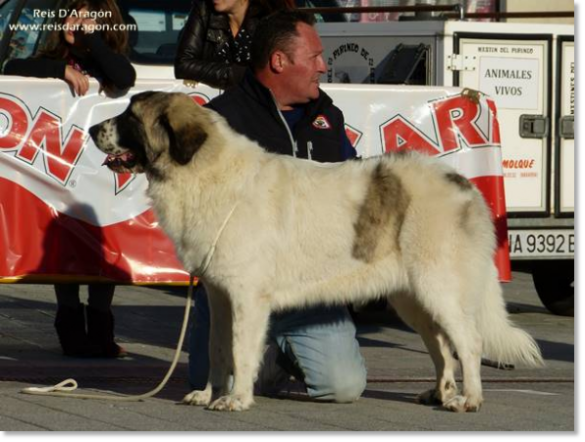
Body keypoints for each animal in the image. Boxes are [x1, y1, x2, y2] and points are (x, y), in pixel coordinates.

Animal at [91, 91, 544, 412]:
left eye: (130, 117)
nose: (94, 128)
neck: (204, 170)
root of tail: (463, 183)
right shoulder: (219, 296)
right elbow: (216, 349)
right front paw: (207, 394)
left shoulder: (246, 298)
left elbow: (240, 351)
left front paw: (236, 399)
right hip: (411, 296)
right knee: (440, 344)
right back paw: (441, 392)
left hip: (439, 287)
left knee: (468, 342)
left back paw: (469, 399)